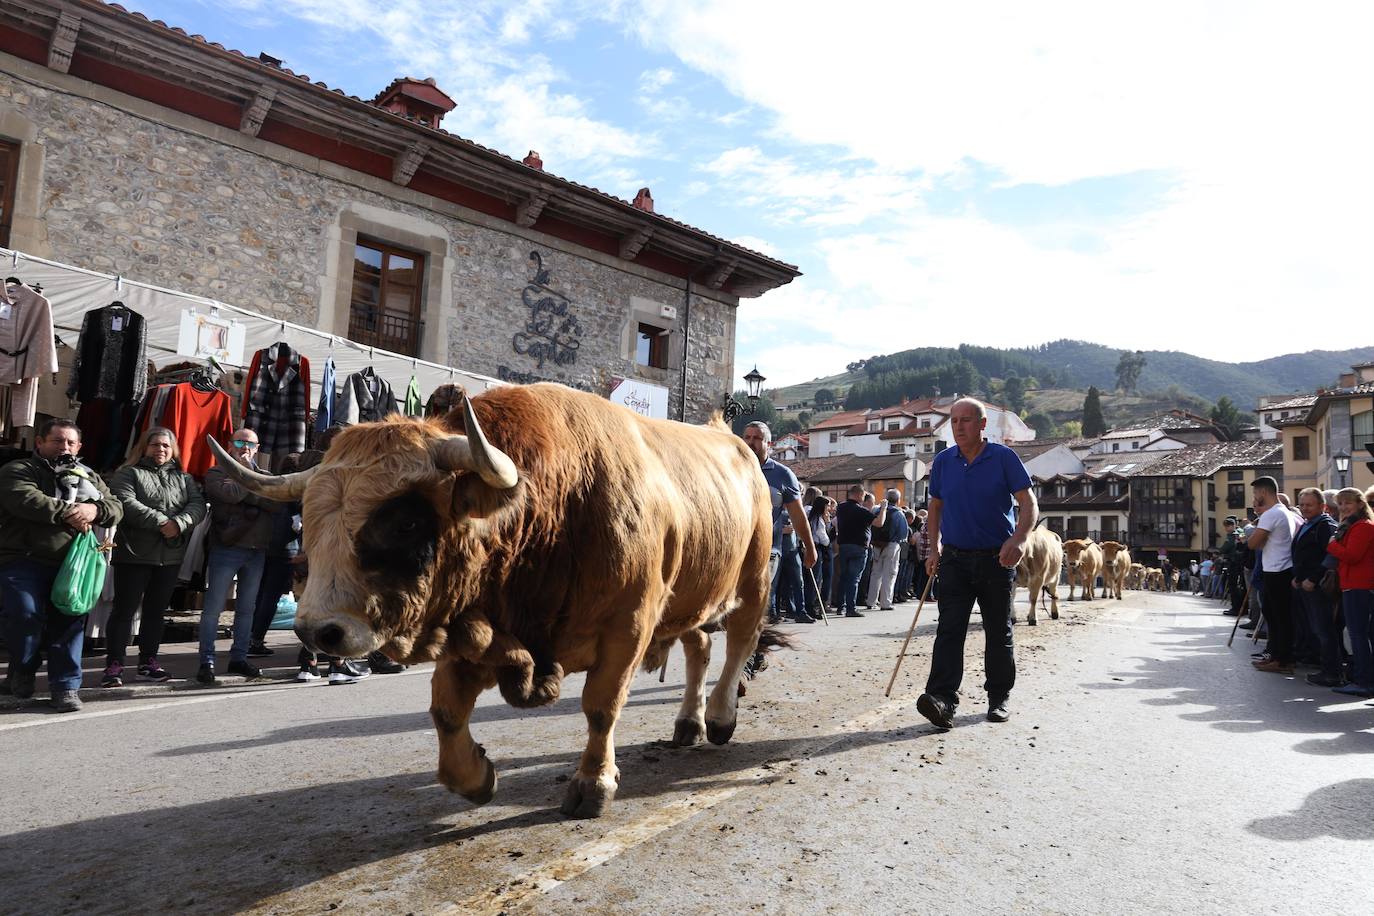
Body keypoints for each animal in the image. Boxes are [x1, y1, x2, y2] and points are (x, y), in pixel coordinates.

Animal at [210, 384, 780, 818]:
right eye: (308, 516)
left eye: (406, 521)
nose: (317, 631)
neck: (555, 502)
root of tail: (732, 440)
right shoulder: (469, 625)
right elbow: (445, 712)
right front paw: (475, 775)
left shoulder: (629, 625)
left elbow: (601, 706)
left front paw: (593, 785)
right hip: (695, 596)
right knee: (699, 648)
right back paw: (689, 722)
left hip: (752, 579)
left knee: (739, 642)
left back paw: (721, 717)